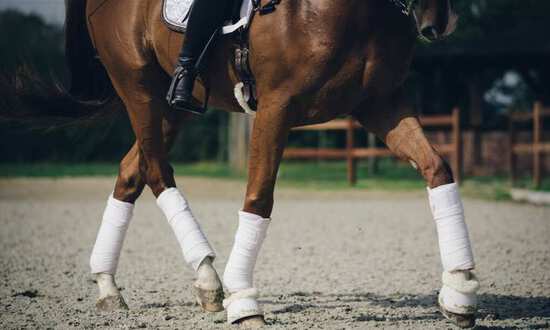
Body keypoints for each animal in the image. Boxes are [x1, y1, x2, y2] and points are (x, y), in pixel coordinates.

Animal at [60, 0, 476, 328]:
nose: (440, 22)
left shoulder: (380, 102)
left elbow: (437, 168)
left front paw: (459, 291)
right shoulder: (277, 106)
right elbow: (259, 197)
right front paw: (244, 302)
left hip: (170, 108)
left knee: (133, 171)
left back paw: (111, 285)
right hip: (138, 89)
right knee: (157, 171)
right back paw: (207, 279)